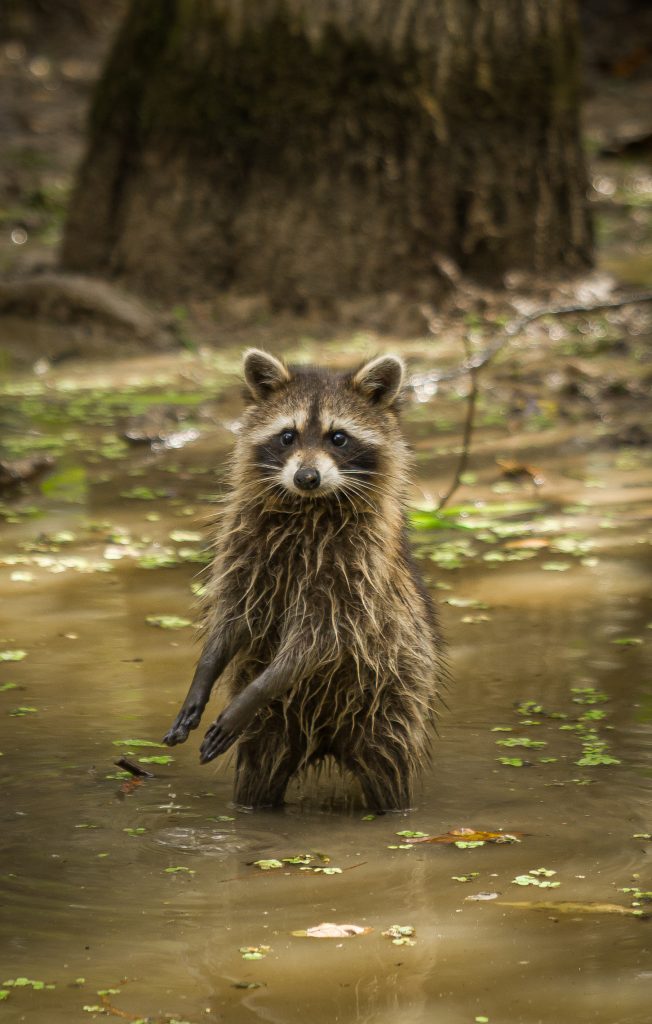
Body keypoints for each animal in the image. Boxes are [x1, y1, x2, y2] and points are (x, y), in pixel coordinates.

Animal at [162, 352, 442, 806]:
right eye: (287, 436)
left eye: (338, 438)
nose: (306, 477)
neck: (308, 506)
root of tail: (325, 741)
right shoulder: (245, 552)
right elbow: (234, 617)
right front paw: (203, 675)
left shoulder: (355, 569)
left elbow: (322, 636)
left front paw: (255, 691)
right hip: (271, 731)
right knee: (257, 779)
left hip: (391, 702)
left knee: (389, 774)